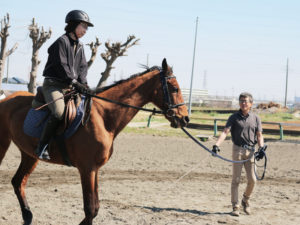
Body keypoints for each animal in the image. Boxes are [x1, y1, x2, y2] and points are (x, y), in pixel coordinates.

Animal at [0, 59, 188, 224]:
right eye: (174, 89)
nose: (185, 118)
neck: (103, 116)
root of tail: (6, 99)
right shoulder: (87, 168)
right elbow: (90, 209)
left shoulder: (95, 169)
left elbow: (95, 208)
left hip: (30, 155)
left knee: (18, 182)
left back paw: (27, 216)